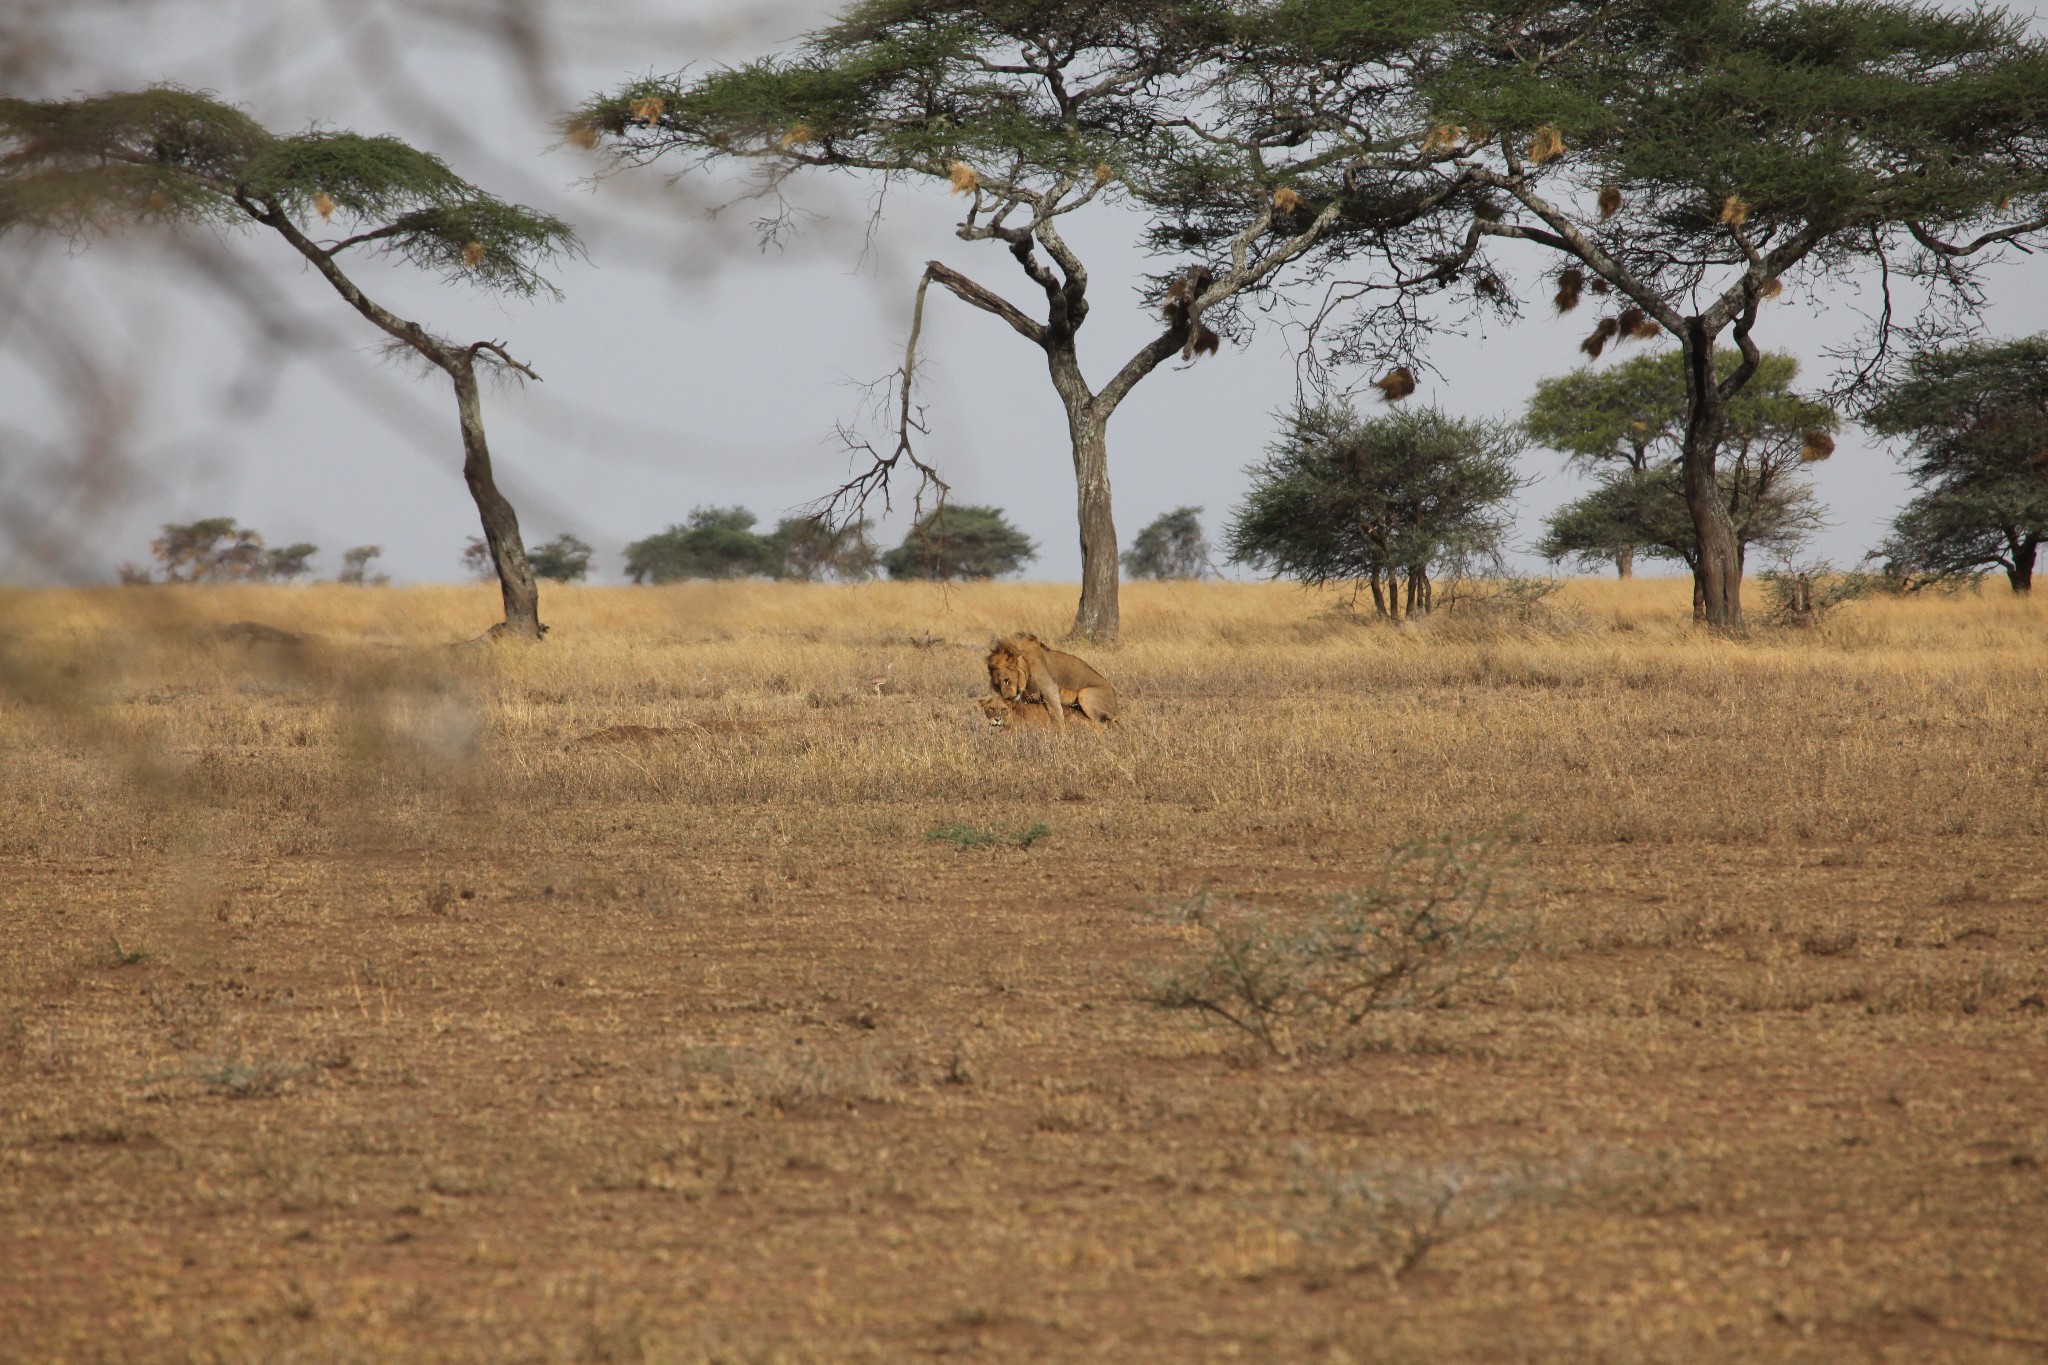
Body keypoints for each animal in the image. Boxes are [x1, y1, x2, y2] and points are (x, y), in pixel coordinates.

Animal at [987, 634, 1122, 732]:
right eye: (998, 685)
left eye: (1006, 680)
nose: (1007, 698)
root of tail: (1115, 703)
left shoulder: (1050, 689)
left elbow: (1057, 714)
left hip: (1085, 694)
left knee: (1101, 725)